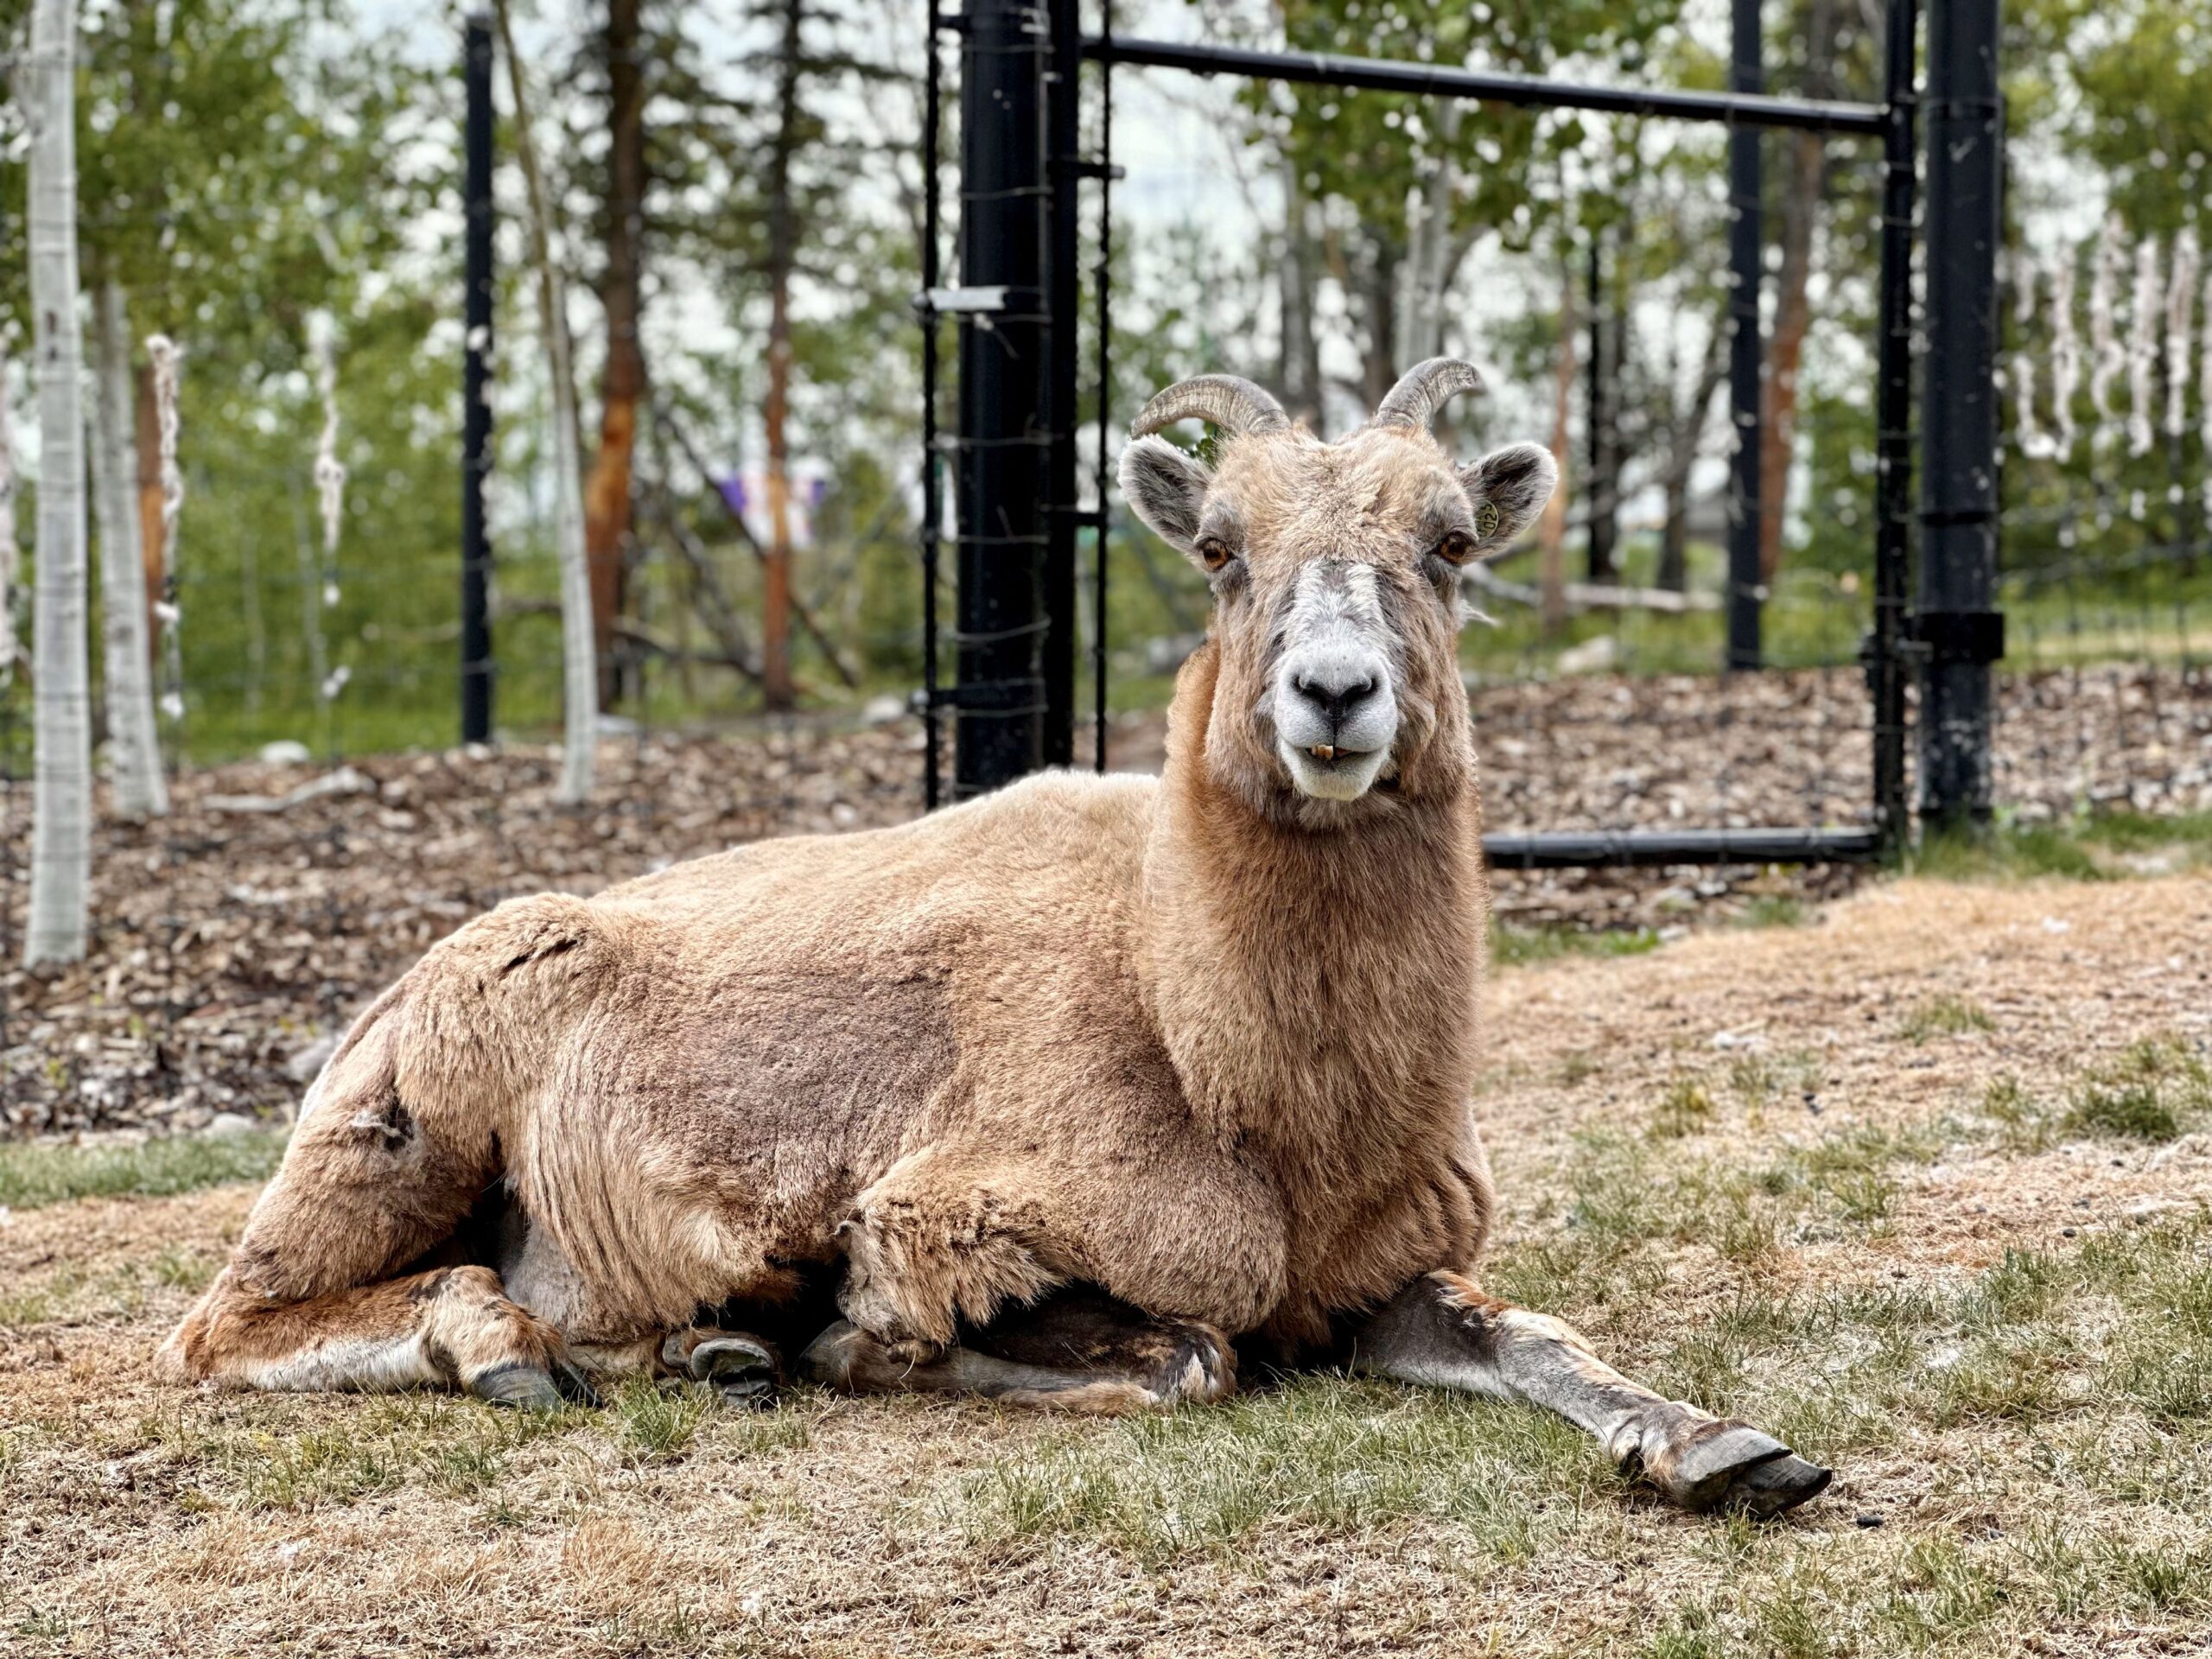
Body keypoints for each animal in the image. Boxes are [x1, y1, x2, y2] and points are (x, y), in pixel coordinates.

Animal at [159, 361, 1831, 1516]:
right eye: (1220, 548)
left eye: (1451, 543)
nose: (1335, 698)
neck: (1209, 1048)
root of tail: (391, 998)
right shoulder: (954, 1220)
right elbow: (1185, 1357)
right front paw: (843, 1348)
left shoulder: (1373, 1277)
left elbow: (1535, 1336)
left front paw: (1728, 1454)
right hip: (396, 1154)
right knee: (225, 1329)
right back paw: (526, 1351)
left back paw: (706, 1355)